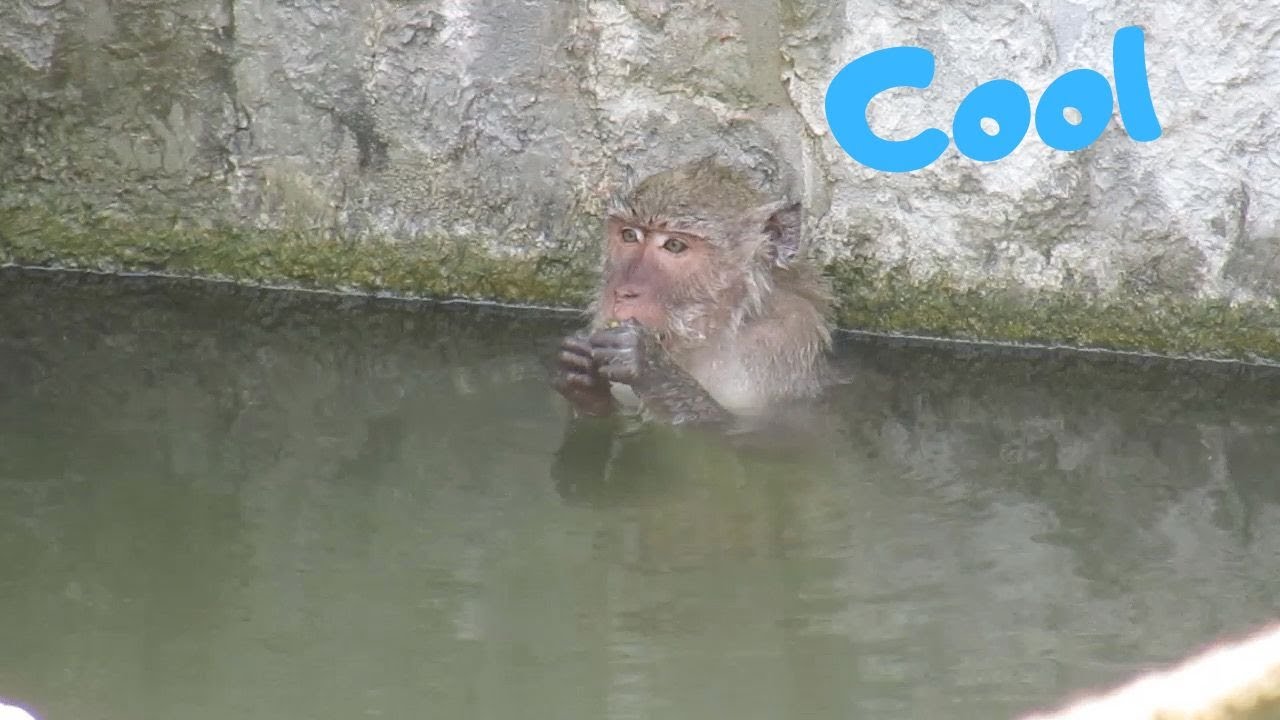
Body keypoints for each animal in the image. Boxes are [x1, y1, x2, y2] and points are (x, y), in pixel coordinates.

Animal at [551, 157, 836, 430]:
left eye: (674, 245)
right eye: (629, 235)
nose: (623, 292)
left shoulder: (781, 339)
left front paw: (651, 366)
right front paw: (581, 379)